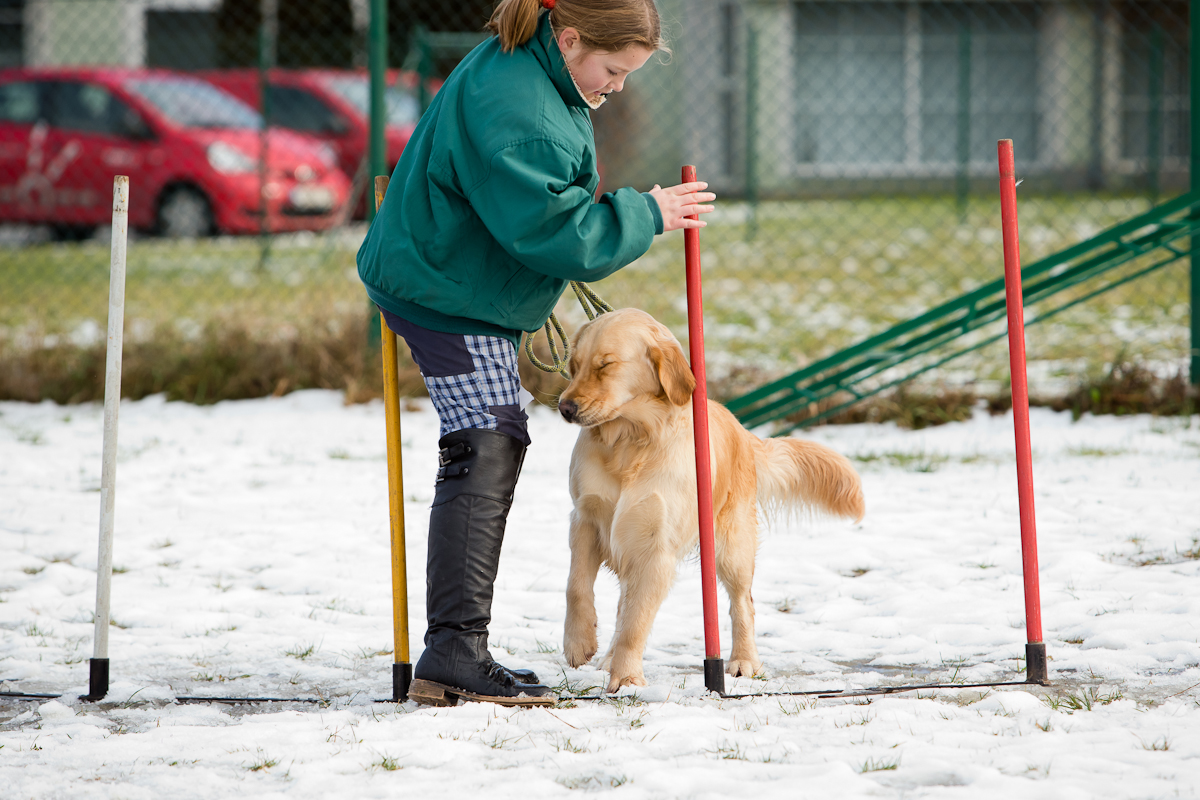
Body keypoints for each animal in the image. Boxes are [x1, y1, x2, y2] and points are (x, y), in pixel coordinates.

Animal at [552, 309, 864, 690]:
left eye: (605, 365)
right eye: (573, 365)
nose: (565, 408)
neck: (629, 441)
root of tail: (741, 428)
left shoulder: (656, 547)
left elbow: (636, 622)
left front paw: (626, 678)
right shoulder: (586, 520)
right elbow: (577, 588)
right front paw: (579, 643)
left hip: (732, 547)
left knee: (742, 602)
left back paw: (744, 660)